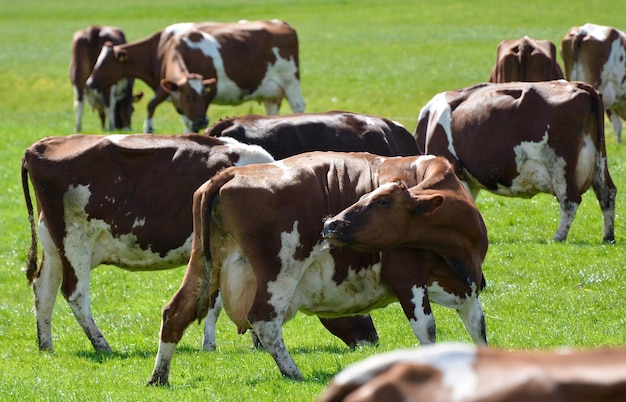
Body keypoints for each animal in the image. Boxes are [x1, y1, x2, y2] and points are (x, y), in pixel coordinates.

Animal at [86, 20, 304, 133]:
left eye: (105, 63)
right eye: (98, 61)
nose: (90, 82)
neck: (162, 47)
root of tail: (281, 23)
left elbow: (151, 105)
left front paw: (149, 128)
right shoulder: (172, 91)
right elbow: (182, 118)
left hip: (291, 82)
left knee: (298, 106)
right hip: (270, 94)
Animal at [147, 152, 488, 384]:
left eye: (382, 201)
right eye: (365, 196)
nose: (331, 223)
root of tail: (230, 174)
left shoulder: (468, 286)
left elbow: (478, 329)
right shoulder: (408, 277)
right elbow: (427, 330)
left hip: (204, 264)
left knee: (175, 312)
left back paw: (159, 377)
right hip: (279, 271)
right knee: (264, 320)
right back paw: (294, 373)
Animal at [414, 80, 616, 240]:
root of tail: (578, 85)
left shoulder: (455, 168)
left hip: (560, 164)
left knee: (570, 200)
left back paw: (558, 237)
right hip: (599, 161)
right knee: (607, 193)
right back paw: (608, 236)